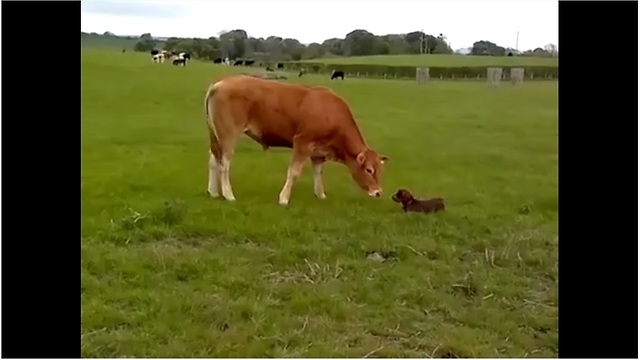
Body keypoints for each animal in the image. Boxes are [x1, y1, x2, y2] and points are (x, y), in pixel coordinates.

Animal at [204, 75, 390, 205]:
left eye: (379, 171)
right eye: (369, 170)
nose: (378, 192)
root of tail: (221, 83)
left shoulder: (318, 151)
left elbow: (318, 173)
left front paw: (320, 195)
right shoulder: (302, 142)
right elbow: (294, 172)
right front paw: (284, 199)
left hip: (215, 135)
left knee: (213, 160)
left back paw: (213, 192)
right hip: (228, 134)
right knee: (224, 164)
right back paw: (228, 195)